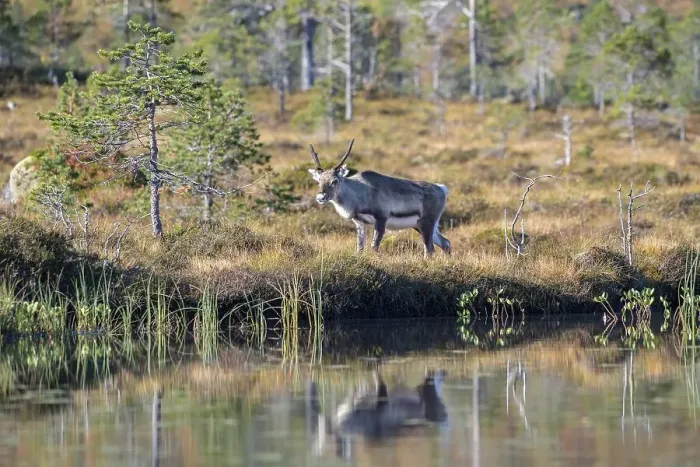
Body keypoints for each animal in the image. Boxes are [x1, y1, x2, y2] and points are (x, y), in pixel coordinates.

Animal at [307, 139, 451, 258]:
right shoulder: (360, 222)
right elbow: (359, 248)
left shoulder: (381, 219)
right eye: (318, 181)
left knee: (430, 249)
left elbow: (374, 246)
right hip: (420, 225)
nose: (321, 197)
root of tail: (442, 189)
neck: (359, 192)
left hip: (426, 223)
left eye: (335, 181)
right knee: (445, 242)